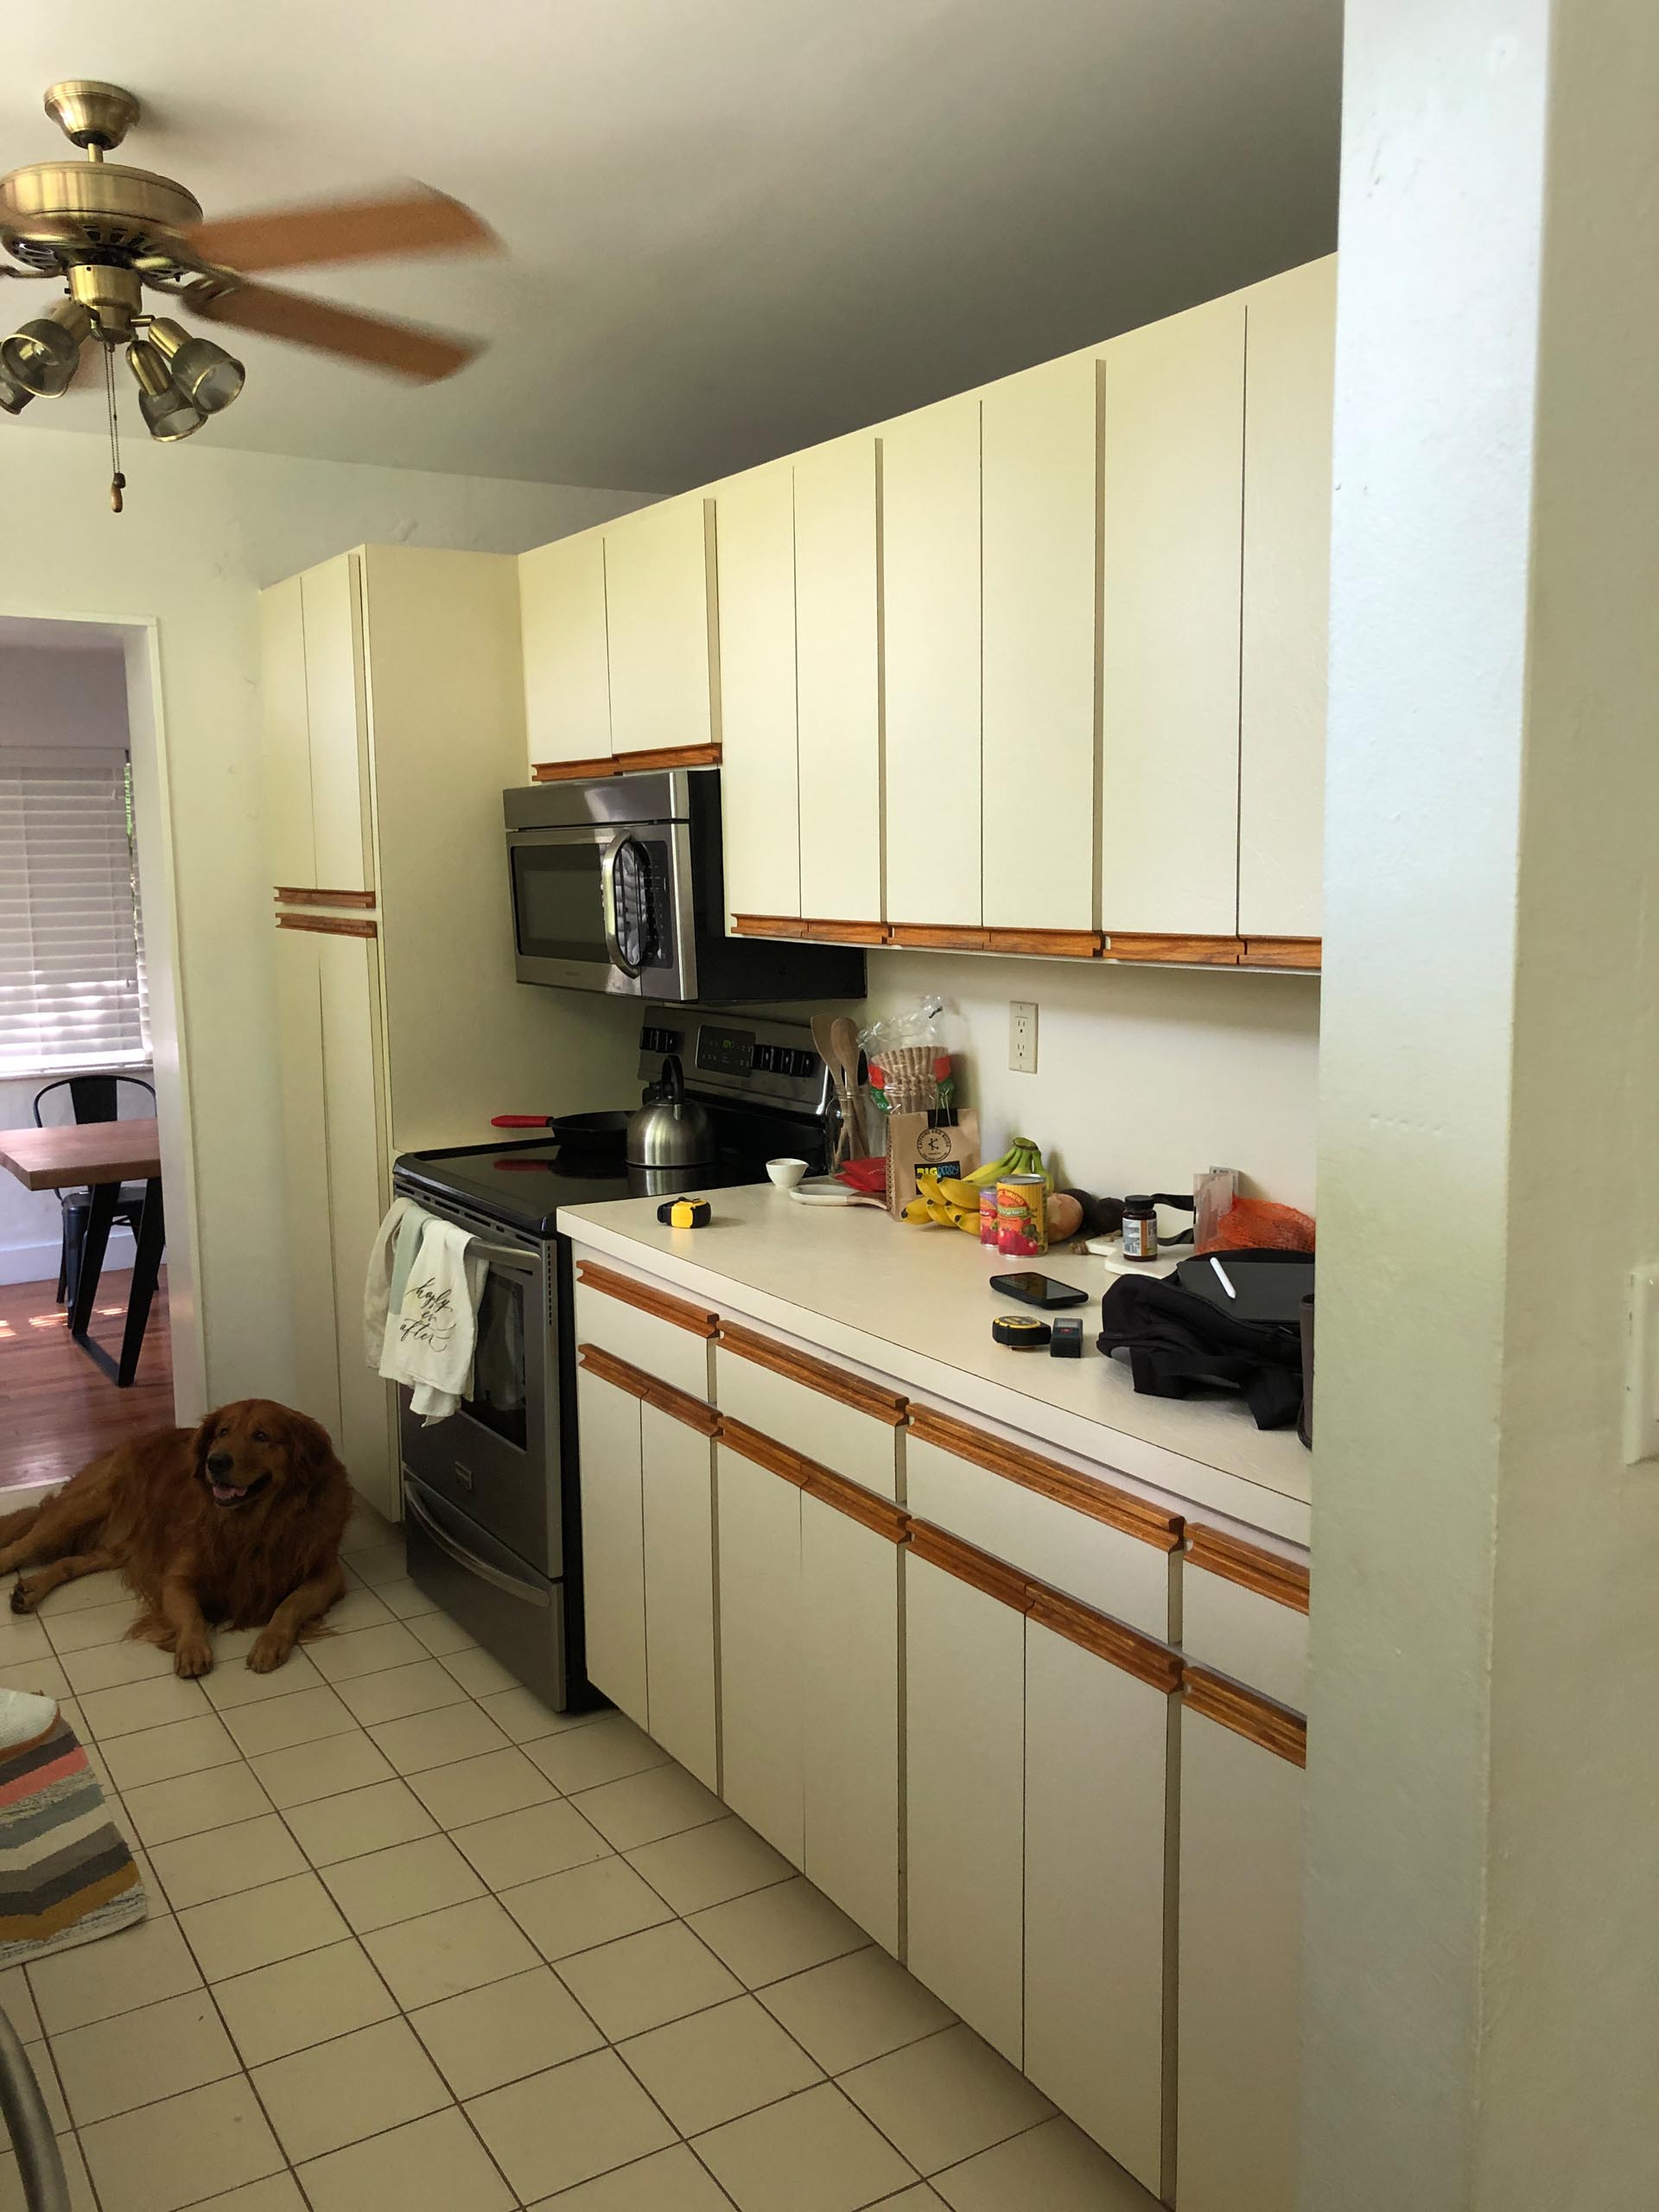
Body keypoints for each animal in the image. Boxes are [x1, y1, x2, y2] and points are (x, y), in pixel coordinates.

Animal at [0, 1397, 353, 1672]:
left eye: (261, 1436)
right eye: (223, 1432)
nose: (216, 1461)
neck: (253, 1525)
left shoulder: (327, 1574)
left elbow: (289, 1605)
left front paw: (269, 1643)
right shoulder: (177, 1578)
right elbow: (190, 1614)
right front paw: (192, 1649)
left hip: (120, 1545)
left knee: (72, 1562)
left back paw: (30, 1589)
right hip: (85, 1505)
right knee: (22, 1544)